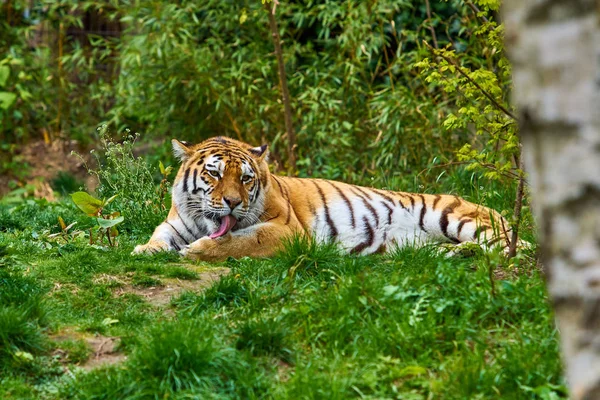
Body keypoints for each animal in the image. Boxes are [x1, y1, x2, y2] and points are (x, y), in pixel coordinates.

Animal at [132, 137, 516, 262]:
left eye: (245, 178)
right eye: (213, 174)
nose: (232, 202)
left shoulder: (286, 231)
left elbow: (238, 241)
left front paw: (196, 251)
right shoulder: (176, 222)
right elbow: (159, 236)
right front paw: (144, 250)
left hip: (453, 216)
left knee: (509, 248)